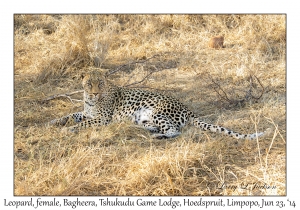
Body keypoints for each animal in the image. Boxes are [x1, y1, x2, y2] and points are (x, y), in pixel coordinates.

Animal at [50, 70, 268, 139]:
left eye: (100, 83)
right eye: (89, 83)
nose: (94, 92)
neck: (90, 100)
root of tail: (189, 110)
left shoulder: (102, 119)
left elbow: (83, 123)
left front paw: (68, 130)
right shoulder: (87, 112)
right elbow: (71, 115)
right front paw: (52, 123)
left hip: (156, 111)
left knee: (174, 131)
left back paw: (159, 136)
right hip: (144, 118)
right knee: (155, 127)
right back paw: (144, 131)